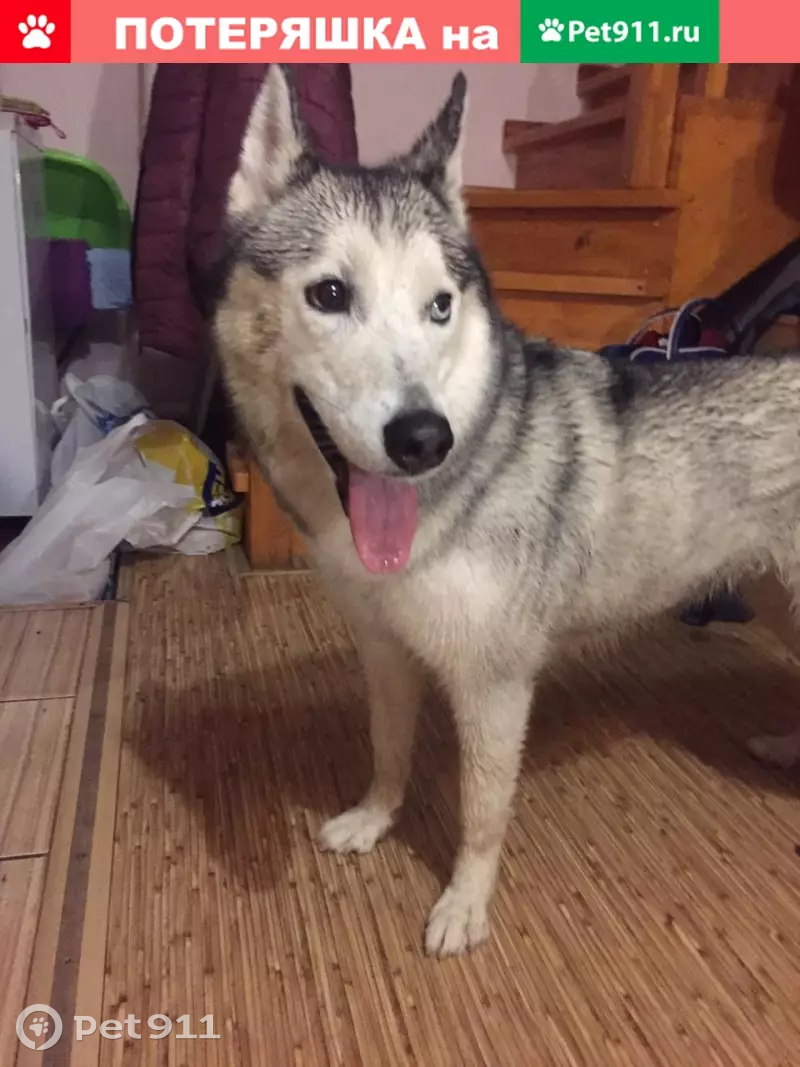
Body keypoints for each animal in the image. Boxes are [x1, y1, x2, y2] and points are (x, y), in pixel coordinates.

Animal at [214, 65, 800, 956]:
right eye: (329, 293)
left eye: (440, 306)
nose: (424, 436)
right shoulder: (385, 649)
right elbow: (387, 750)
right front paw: (375, 819)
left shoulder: (495, 684)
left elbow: (481, 810)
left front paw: (466, 903)